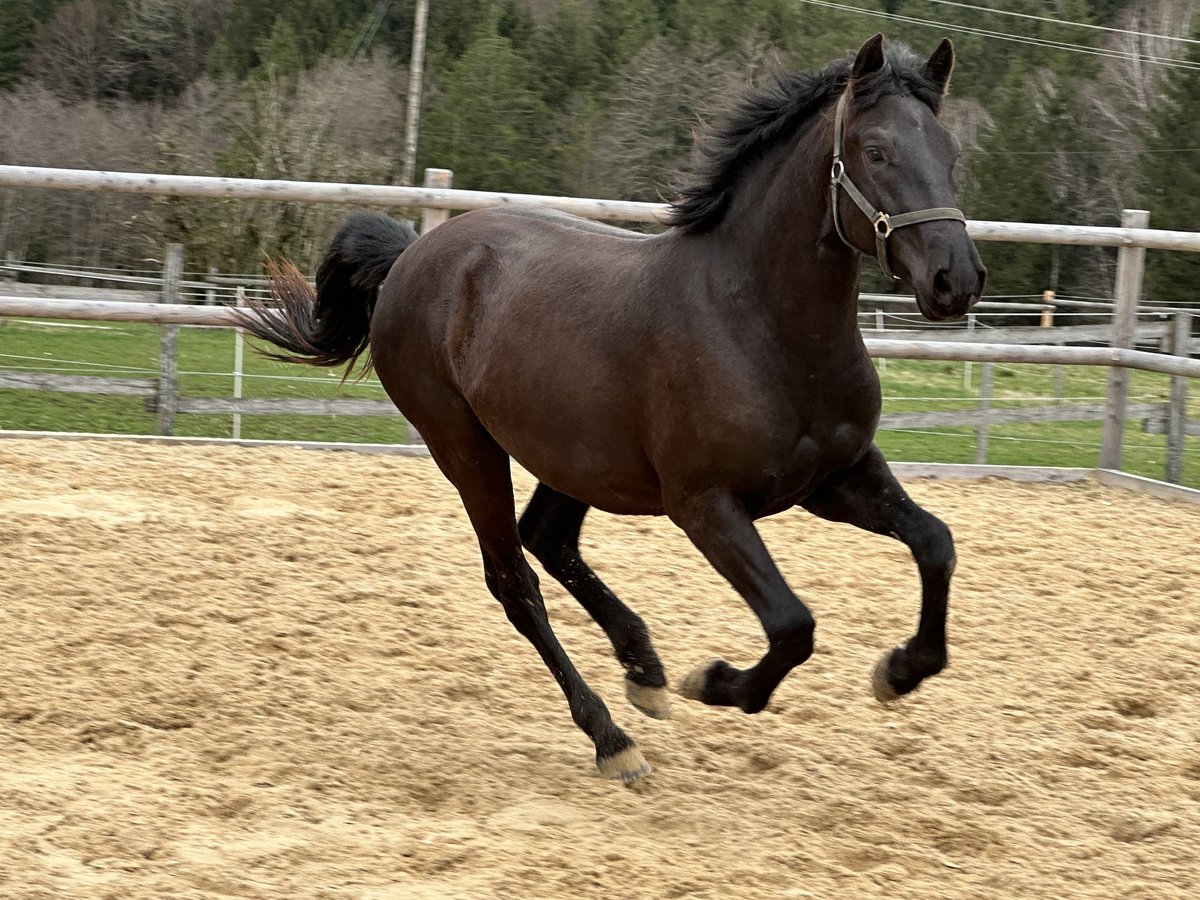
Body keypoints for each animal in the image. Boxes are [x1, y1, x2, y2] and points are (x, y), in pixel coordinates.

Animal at [236, 33, 984, 782]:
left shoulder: (835, 477)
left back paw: (644, 671)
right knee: (514, 580)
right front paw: (716, 682)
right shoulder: (705, 505)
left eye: (950, 152)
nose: (957, 280)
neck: (761, 326)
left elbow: (936, 544)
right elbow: (792, 625)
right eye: (876, 150)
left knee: (548, 538)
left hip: (577, 455)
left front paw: (900, 671)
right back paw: (612, 738)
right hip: (465, 447)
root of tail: (413, 254)